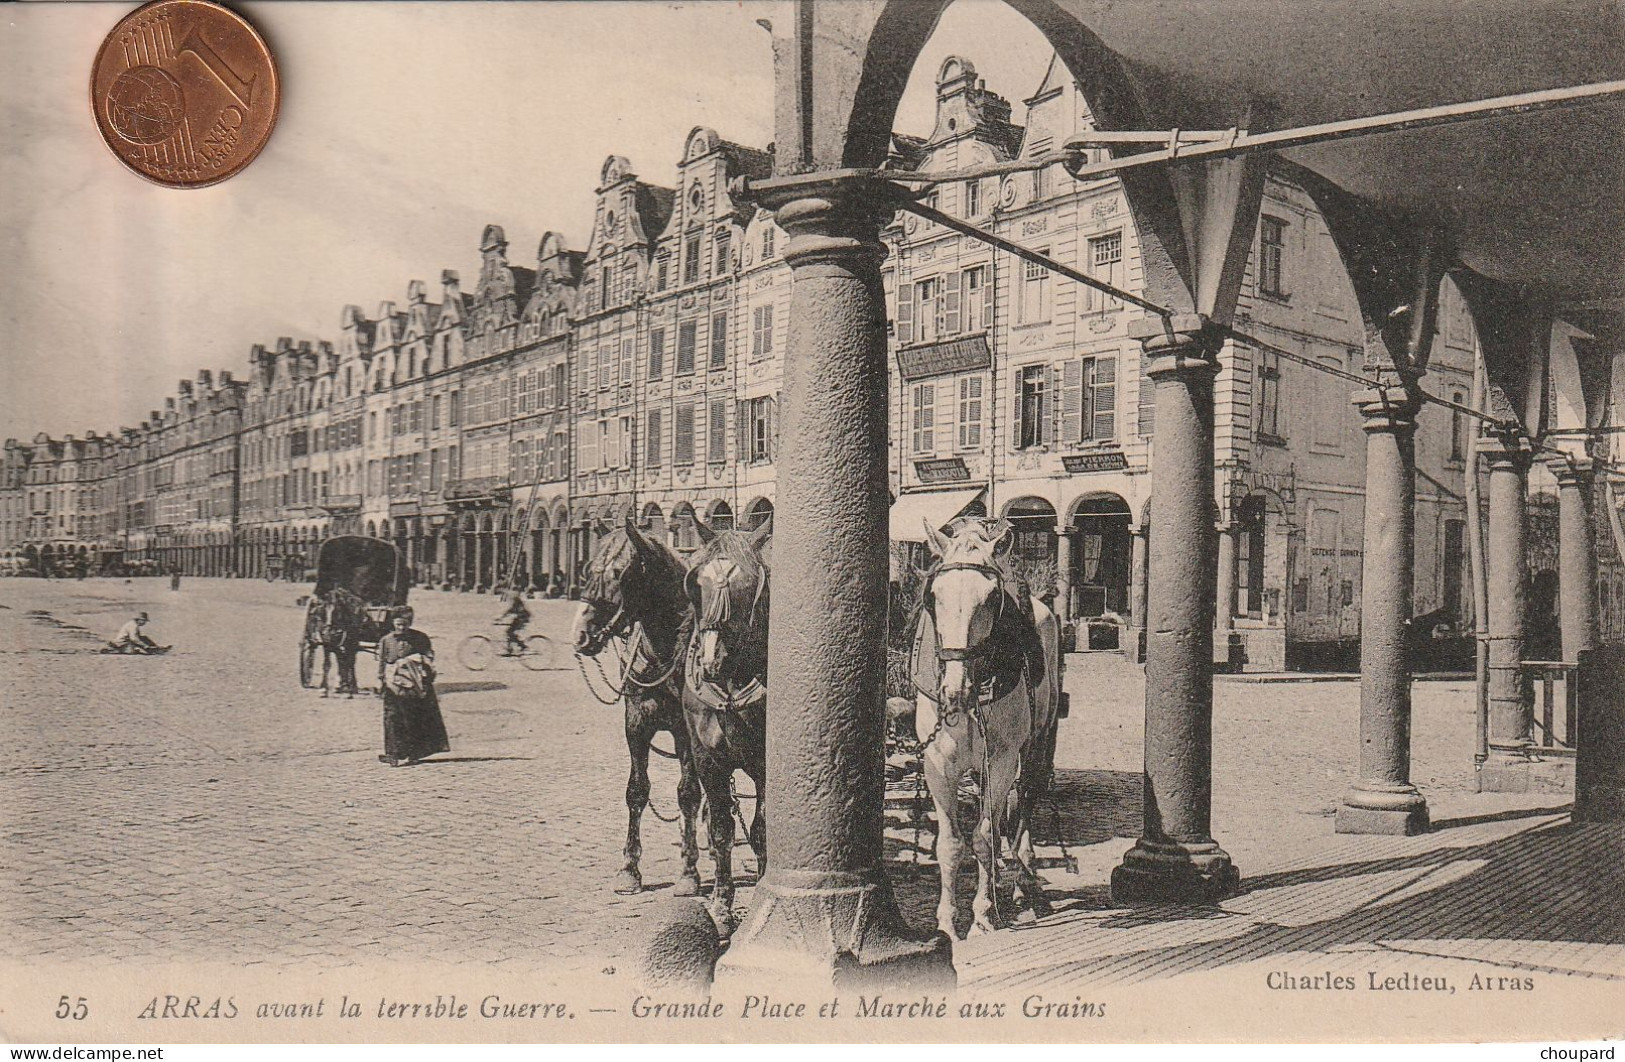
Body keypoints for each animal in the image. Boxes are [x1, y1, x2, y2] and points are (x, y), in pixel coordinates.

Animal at [575, 522, 702, 896]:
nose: (581, 634)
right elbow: (636, 790)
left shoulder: (686, 732)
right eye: (587, 569)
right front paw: (630, 868)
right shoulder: (636, 725)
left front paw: (689, 871)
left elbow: (688, 793)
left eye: (621, 574)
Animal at [916, 516, 1066, 941]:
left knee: (1025, 800)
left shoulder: (1001, 760)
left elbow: (984, 836)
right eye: (933, 596)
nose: (955, 690)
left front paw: (983, 913)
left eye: (991, 598)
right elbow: (951, 844)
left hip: (1036, 745)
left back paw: (1022, 879)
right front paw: (947, 921)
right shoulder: (937, 764)